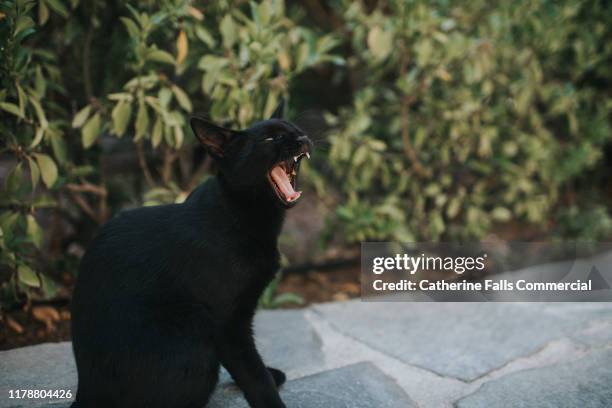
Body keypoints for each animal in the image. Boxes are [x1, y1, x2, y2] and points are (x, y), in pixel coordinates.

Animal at [69, 103, 314, 408]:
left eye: (296, 129)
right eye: (272, 139)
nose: (303, 138)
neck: (239, 213)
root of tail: (86, 391)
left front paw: (269, 374)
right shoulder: (227, 325)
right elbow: (253, 375)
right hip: (194, 324)